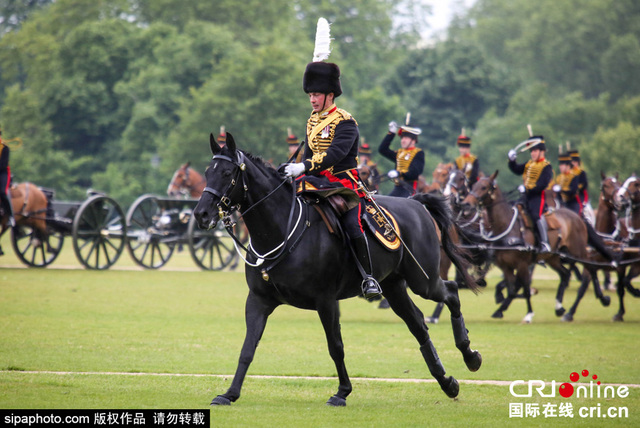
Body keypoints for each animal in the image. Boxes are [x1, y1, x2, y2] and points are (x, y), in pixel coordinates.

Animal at [192, 133, 482, 404]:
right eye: (207, 172)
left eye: (227, 173)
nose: (201, 214)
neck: (282, 229)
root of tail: (416, 203)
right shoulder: (258, 300)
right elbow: (247, 348)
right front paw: (230, 393)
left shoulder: (326, 301)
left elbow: (336, 346)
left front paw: (342, 392)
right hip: (394, 287)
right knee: (418, 325)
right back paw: (447, 382)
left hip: (423, 281)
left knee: (451, 291)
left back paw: (469, 354)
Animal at [460, 172, 600, 322]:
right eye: (474, 185)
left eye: (484, 187)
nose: (466, 204)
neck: (508, 228)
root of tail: (578, 218)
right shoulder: (506, 266)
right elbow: (512, 289)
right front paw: (500, 309)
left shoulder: (522, 264)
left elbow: (524, 288)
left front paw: (528, 314)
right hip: (553, 258)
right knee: (565, 274)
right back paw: (559, 308)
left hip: (578, 253)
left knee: (589, 272)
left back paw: (591, 302)